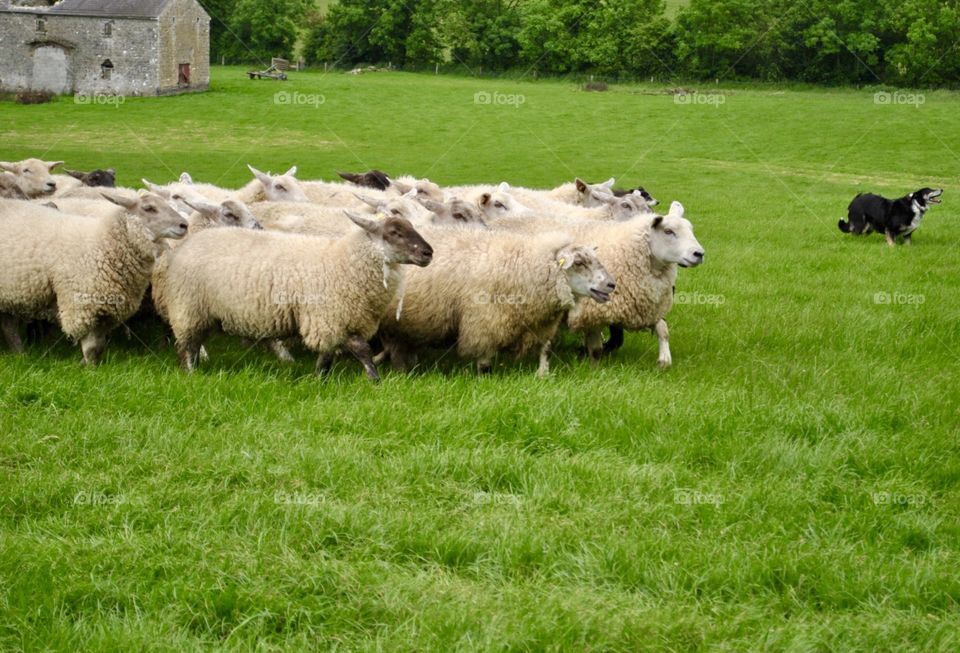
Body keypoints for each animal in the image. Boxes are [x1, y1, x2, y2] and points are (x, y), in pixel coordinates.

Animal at [0, 191, 189, 364]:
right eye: (149, 208)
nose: (184, 225)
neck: (102, 244)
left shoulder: (106, 310)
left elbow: (99, 346)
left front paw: (88, 365)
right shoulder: (83, 305)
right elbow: (91, 347)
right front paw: (89, 369)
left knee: (8, 326)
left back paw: (20, 354)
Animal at [156, 211, 434, 380]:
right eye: (394, 233)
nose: (428, 253)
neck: (343, 261)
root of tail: (186, 246)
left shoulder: (336, 320)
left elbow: (330, 353)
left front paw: (320, 378)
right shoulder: (329, 317)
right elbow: (361, 349)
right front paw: (374, 380)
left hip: (203, 313)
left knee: (194, 343)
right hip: (188, 308)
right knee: (186, 346)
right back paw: (191, 374)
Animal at [376, 227, 616, 374]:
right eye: (580, 263)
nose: (612, 284)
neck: (523, 265)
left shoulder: (541, 324)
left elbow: (545, 350)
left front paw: (543, 374)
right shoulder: (484, 322)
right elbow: (484, 361)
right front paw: (485, 378)